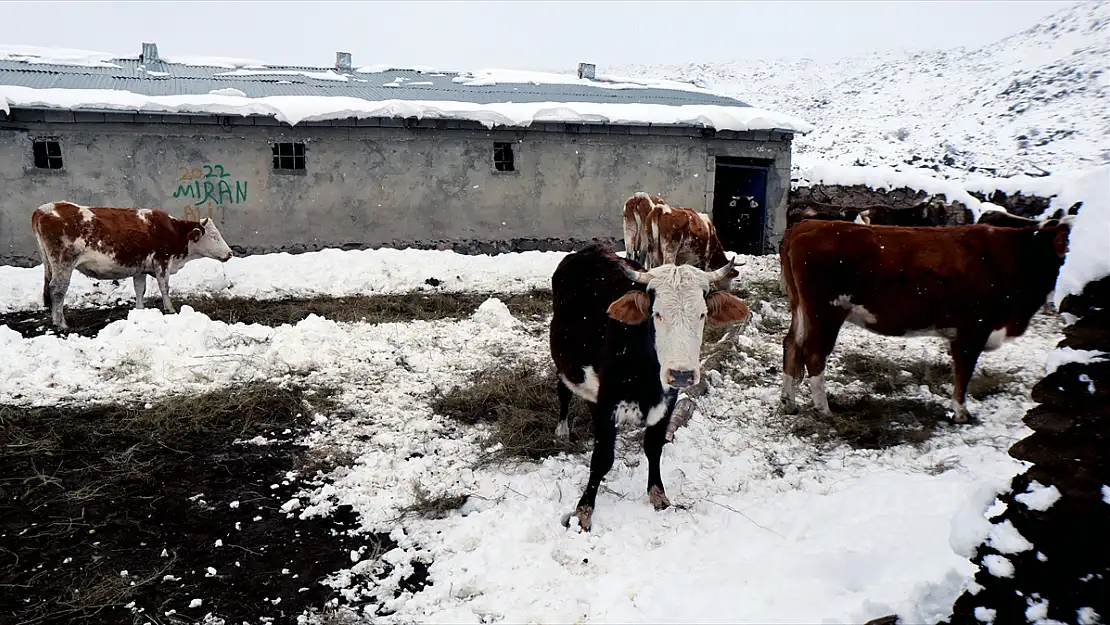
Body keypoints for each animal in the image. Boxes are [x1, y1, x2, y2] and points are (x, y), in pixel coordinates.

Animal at [30, 202, 234, 333]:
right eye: (214, 236)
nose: (230, 253)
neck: (173, 232)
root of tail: (43, 209)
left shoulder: (140, 268)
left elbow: (139, 289)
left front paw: (140, 311)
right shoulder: (162, 261)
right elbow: (164, 287)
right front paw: (170, 310)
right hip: (63, 263)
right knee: (58, 289)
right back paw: (61, 324)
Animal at [548, 244, 750, 532]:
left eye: (702, 314)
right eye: (657, 313)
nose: (681, 374)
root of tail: (588, 250)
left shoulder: (667, 400)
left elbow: (654, 447)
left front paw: (658, 495)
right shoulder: (608, 401)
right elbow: (602, 458)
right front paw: (584, 511)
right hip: (564, 364)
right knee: (563, 390)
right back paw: (562, 430)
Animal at [777, 217, 1070, 424]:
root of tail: (807, 225)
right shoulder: (973, 329)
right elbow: (963, 373)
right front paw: (960, 414)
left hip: (802, 309)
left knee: (792, 344)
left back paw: (788, 402)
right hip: (826, 312)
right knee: (814, 353)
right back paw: (824, 410)